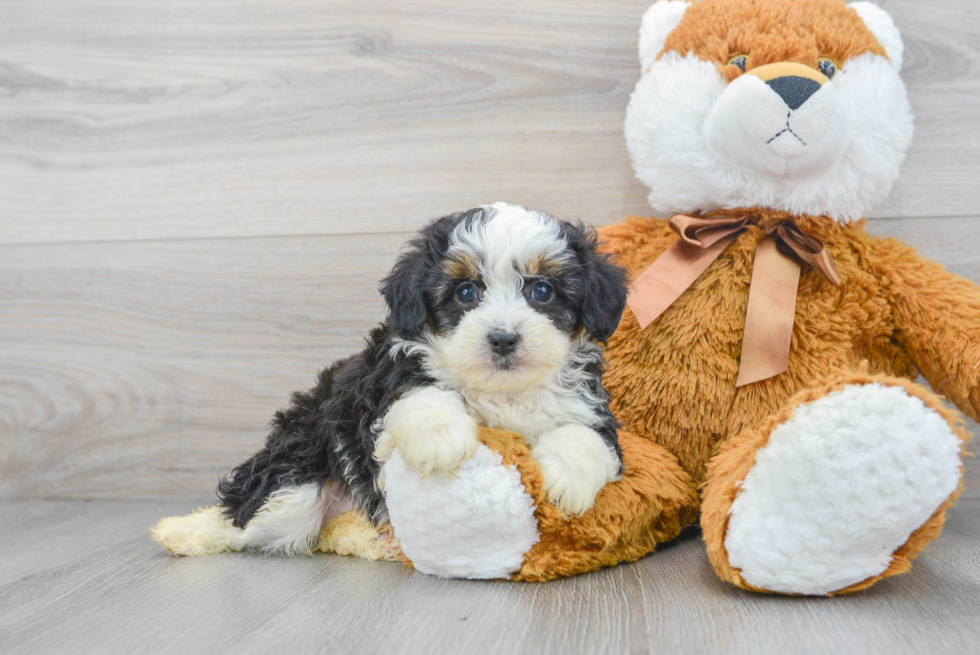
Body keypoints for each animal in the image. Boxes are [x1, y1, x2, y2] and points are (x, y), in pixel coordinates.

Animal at [153, 202, 628, 556]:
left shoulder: (591, 408)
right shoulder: (389, 381)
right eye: (466, 293)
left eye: (542, 291)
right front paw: (440, 442)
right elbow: (423, 395)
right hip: (295, 478)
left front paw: (568, 480)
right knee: (246, 518)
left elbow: (585, 435)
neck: (501, 391)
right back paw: (185, 532)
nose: (504, 338)